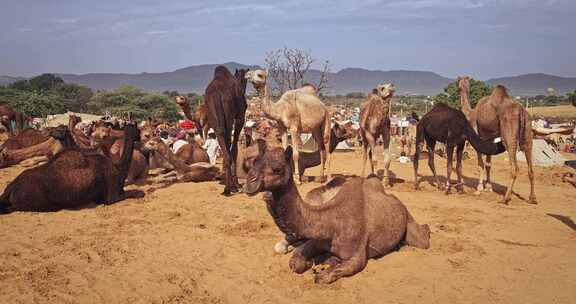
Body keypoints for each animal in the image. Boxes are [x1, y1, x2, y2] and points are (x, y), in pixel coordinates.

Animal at [202, 65, 248, 196]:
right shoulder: (240, 118)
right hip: (229, 114)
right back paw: (230, 188)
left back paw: (227, 187)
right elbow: (235, 149)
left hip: (214, 115)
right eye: (246, 79)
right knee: (229, 146)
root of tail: (217, 94)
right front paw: (236, 184)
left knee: (221, 134)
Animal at [244, 144, 432, 284]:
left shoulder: (357, 255)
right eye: (253, 162)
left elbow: (323, 277)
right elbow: (295, 262)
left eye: (277, 169)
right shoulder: (316, 240)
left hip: (409, 220)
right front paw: (314, 260)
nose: (249, 184)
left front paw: (323, 266)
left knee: (422, 240)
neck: (331, 222)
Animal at [460, 76, 536, 204]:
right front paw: (489, 187)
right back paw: (532, 198)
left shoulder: (477, 137)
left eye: (459, 84)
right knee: (529, 157)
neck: (471, 113)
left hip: (508, 132)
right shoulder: (489, 139)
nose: (460, 86)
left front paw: (479, 189)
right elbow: (488, 164)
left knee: (514, 166)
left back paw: (506, 198)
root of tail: (521, 110)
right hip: (528, 129)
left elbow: (480, 163)